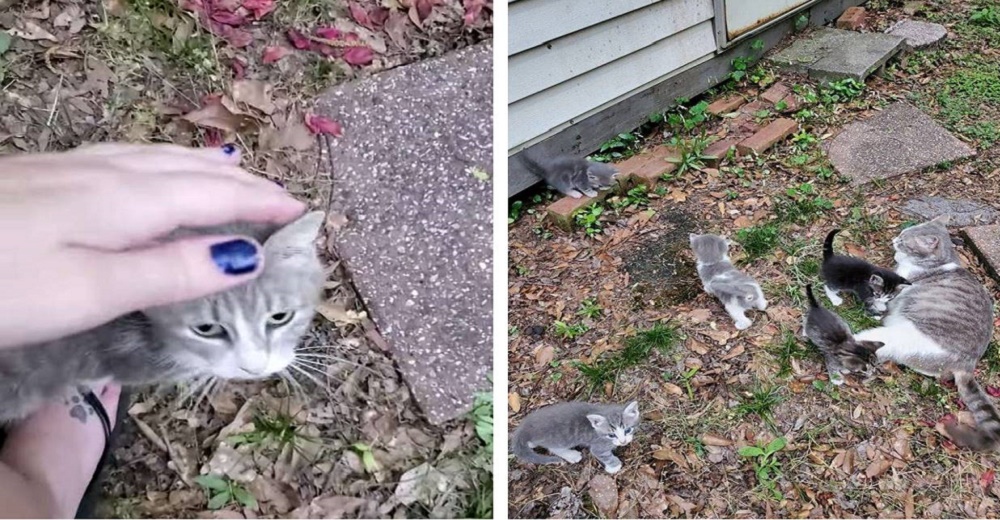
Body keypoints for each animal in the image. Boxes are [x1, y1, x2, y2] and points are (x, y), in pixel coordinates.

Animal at [508, 400, 640, 474]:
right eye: (611, 435)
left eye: (628, 430)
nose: (623, 441)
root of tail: (525, 425)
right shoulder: (598, 446)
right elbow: (604, 455)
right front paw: (614, 466)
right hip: (559, 439)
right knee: (553, 448)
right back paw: (572, 455)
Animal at [852, 217, 1000, 448]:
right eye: (901, 234)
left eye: (904, 240)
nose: (894, 239)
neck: (941, 261)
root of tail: (968, 364)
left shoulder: (899, 283)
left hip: (900, 335)